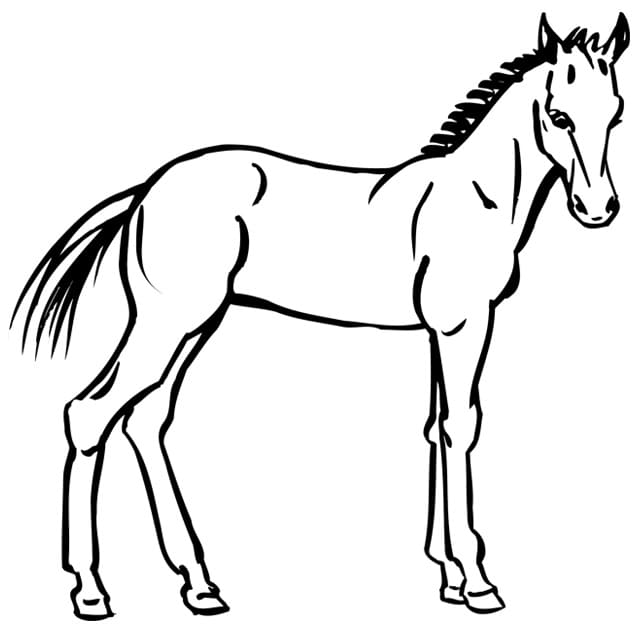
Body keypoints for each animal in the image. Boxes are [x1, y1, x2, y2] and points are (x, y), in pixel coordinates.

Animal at [11, 13, 629, 619]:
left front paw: (448, 578)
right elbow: (459, 428)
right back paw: (91, 591)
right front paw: (476, 582)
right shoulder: (464, 325)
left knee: (146, 419)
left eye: (617, 114)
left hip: (196, 325)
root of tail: (146, 191)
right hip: (167, 323)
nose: (599, 208)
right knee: (89, 414)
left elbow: (434, 427)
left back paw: (200, 585)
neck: (478, 196)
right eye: (559, 116)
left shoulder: (438, 331)